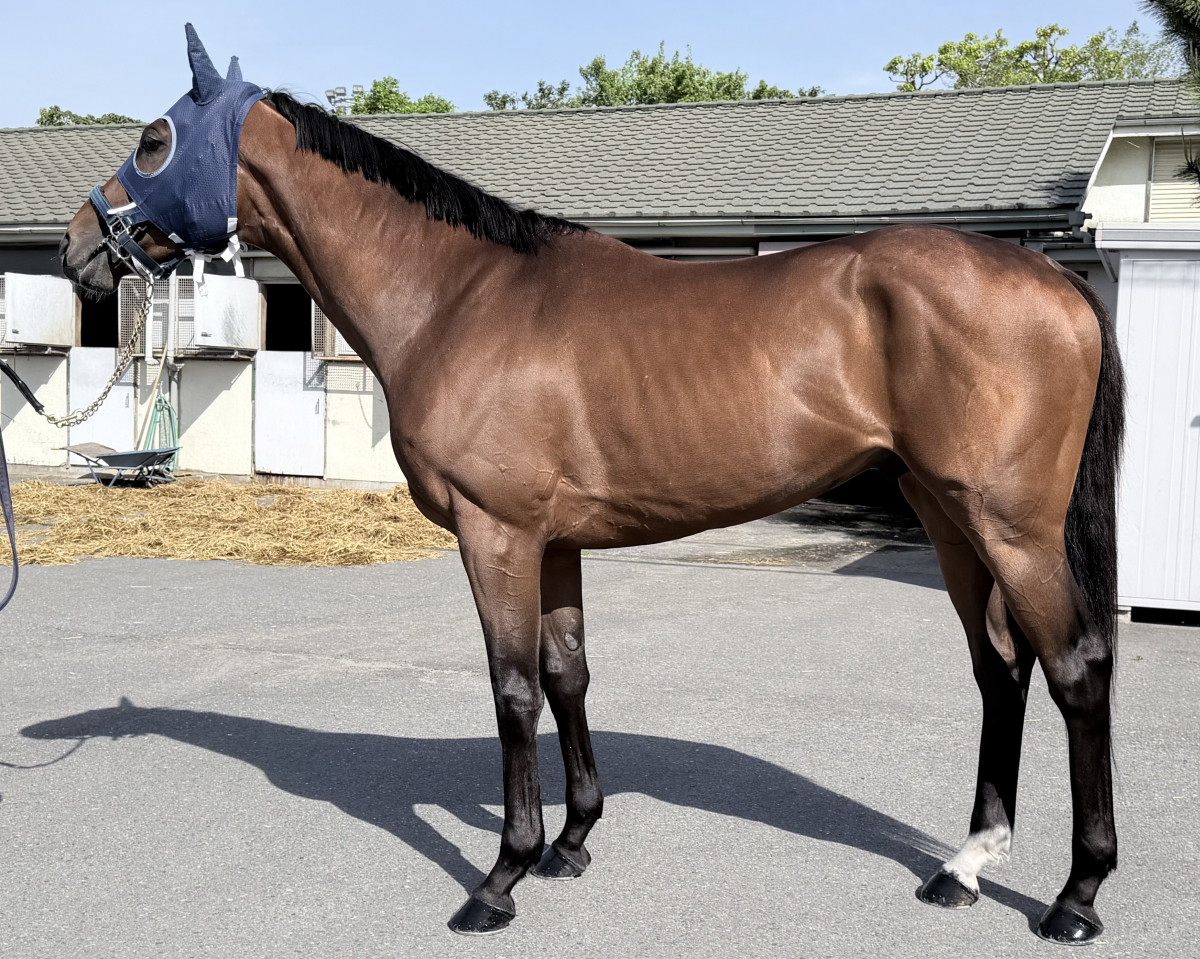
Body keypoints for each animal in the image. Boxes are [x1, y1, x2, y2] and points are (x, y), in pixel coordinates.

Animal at [58, 27, 1123, 944]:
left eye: (154, 139)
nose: (77, 245)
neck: (459, 295)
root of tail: (1056, 280)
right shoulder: (558, 540)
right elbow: (568, 673)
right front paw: (572, 842)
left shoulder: (497, 534)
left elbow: (512, 688)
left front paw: (502, 875)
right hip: (947, 518)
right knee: (1000, 667)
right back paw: (965, 865)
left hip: (1010, 527)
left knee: (1074, 667)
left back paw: (1075, 895)